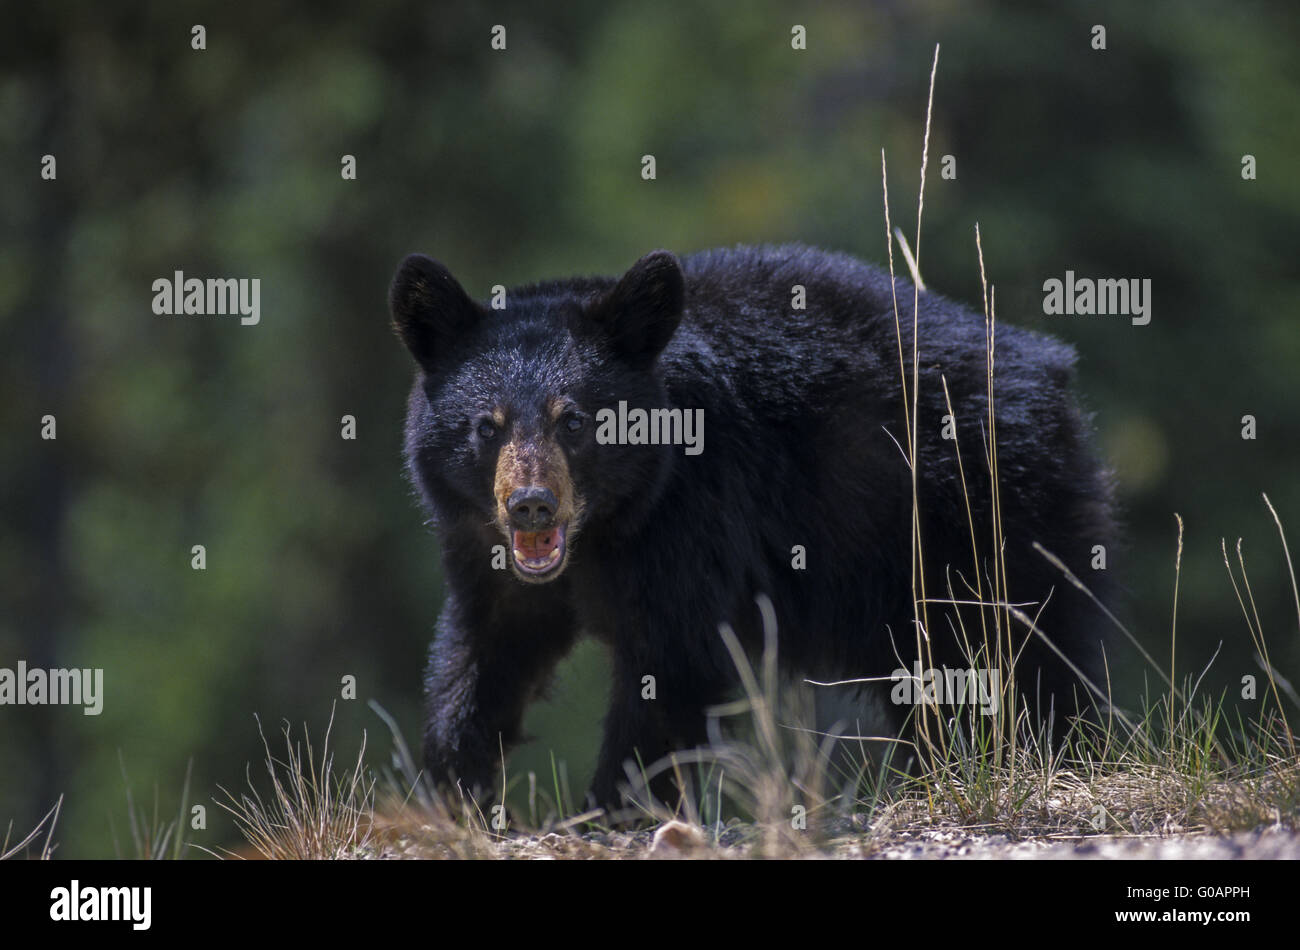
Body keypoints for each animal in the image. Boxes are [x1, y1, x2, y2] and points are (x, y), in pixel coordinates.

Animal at [389, 243, 1116, 811]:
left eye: (574, 420)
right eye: (486, 426)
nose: (532, 504)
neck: (606, 528)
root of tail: (1048, 367)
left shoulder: (697, 512)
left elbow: (672, 664)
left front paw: (612, 812)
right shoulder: (486, 553)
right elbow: (485, 652)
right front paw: (453, 793)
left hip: (983, 515)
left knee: (1020, 657)